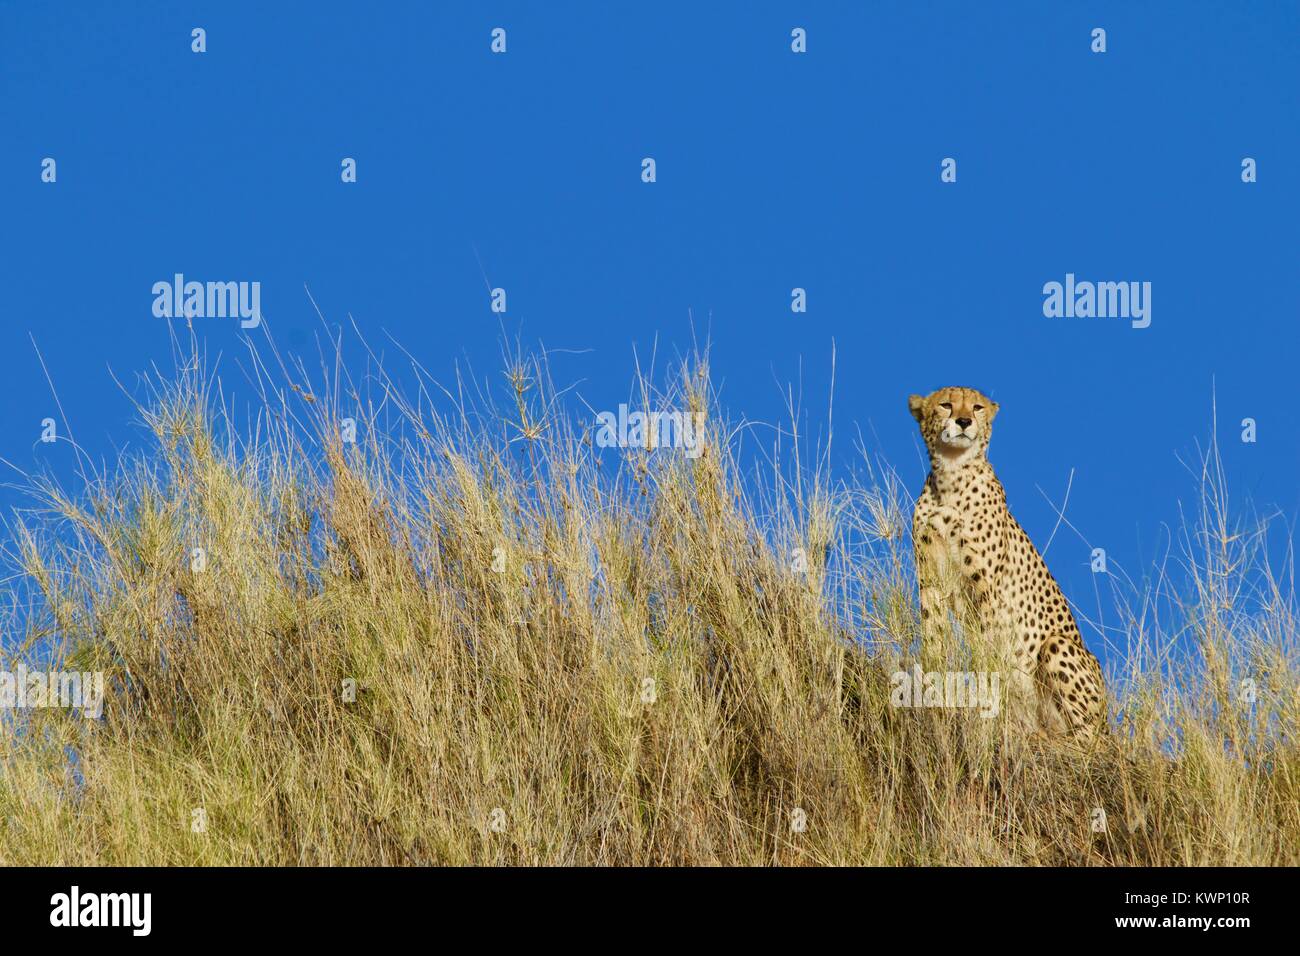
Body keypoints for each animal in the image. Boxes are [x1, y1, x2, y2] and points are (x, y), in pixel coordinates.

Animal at [904, 385, 1107, 738]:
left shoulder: (987, 591)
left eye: (977, 407)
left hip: (1058, 648)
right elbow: (933, 635)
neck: (951, 478)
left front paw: (984, 696)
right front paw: (932, 684)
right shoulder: (931, 580)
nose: (963, 421)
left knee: (1089, 739)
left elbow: (986, 651)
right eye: (945, 405)